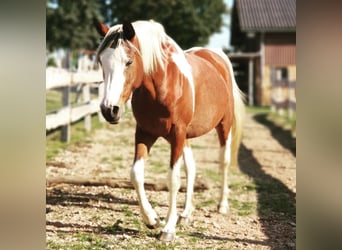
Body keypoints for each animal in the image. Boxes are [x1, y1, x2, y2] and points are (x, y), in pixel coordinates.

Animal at [93, 18, 246, 241]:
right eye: (101, 62)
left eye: (129, 61)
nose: (109, 110)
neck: (163, 85)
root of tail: (218, 58)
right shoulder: (145, 133)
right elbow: (136, 173)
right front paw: (152, 219)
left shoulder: (177, 134)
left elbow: (173, 179)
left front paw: (168, 229)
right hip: (185, 137)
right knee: (191, 167)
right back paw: (186, 214)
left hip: (223, 126)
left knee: (223, 161)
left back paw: (222, 205)